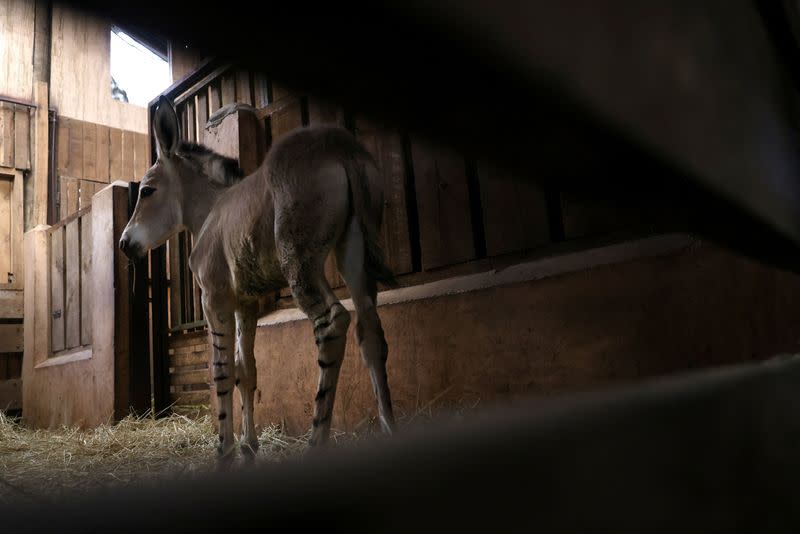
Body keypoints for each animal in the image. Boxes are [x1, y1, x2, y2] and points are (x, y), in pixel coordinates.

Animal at [119, 98, 400, 466]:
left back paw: (316, 441)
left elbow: (222, 371)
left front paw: (224, 451)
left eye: (147, 190)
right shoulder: (245, 305)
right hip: (354, 255)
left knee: (332, 324)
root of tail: (338, 145)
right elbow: (246, 370)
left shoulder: (214, 300)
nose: (124, 244)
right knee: (371, 333)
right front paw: (248, 447)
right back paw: (390, 432)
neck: (211, 213)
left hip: (300, 266)